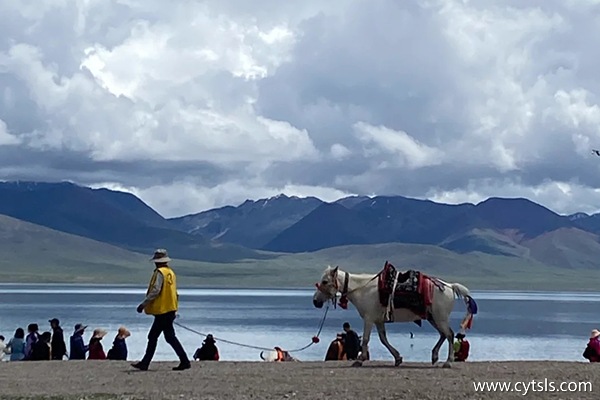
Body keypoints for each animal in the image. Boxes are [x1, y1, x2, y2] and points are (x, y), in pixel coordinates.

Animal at [312, 266, 476, 368]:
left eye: (325, 281)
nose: (315, 301)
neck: (363, 289)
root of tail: (449, 286)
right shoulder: (379, 321)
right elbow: (384, 339)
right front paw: (398, 358)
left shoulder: (369, 319)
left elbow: (366, 339)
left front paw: (359, 360)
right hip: (433, 318)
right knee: (443, 335)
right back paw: (434, 356)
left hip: (440, 318)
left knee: (449, 334)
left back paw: (448, 362)